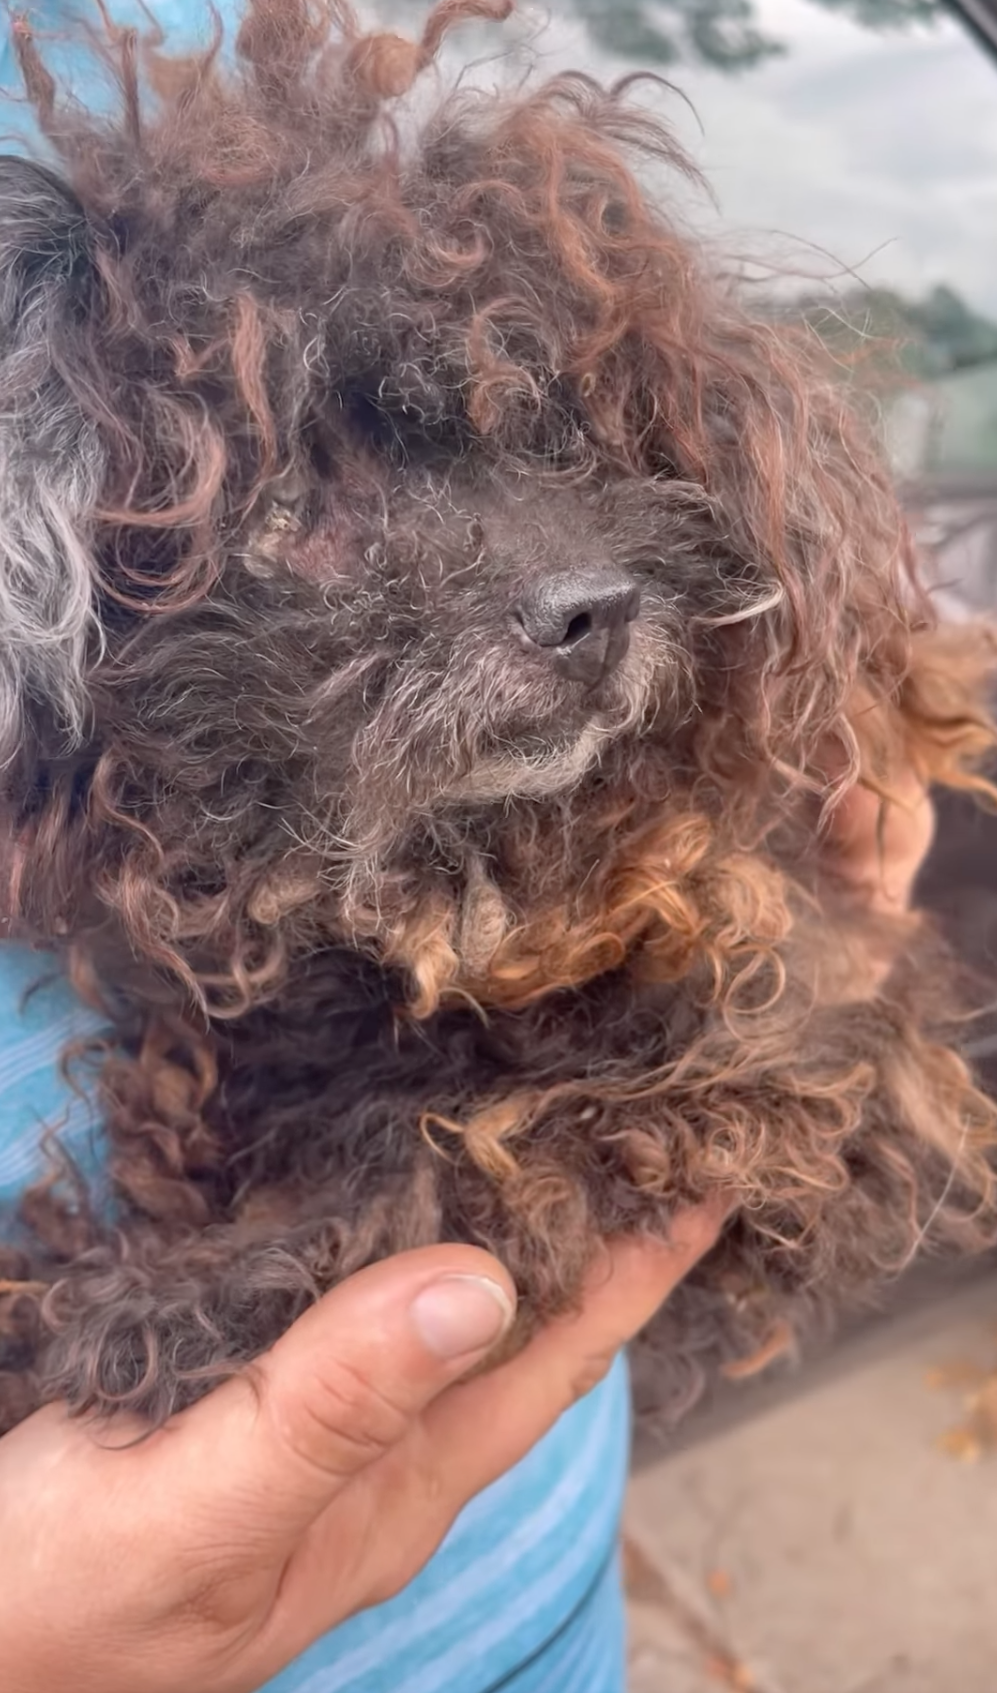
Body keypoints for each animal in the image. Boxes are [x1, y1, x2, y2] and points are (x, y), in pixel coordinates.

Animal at [1, 0, 995, 1435]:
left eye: (551, 436)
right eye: (292, 501)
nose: (593, 609)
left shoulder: (803, 1062)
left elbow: (482, 1139)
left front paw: (183, 1290)